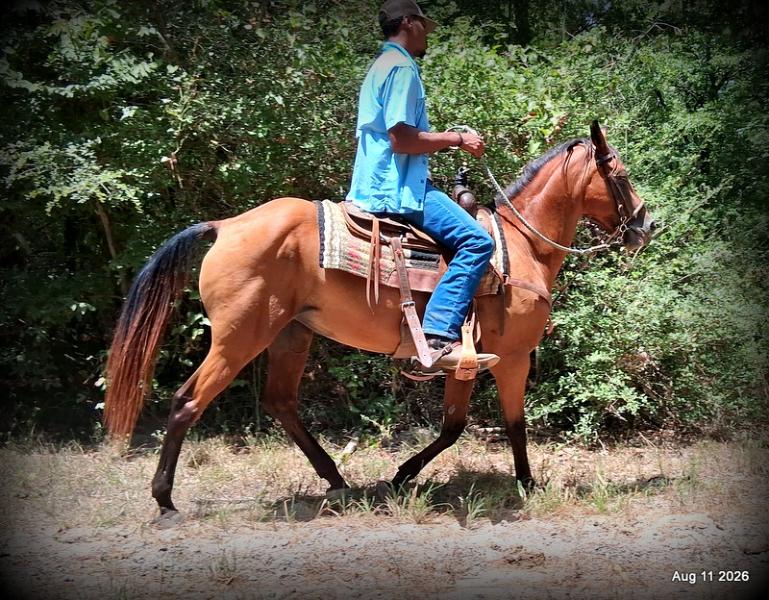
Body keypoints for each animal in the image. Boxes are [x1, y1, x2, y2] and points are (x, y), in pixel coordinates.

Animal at [104, 121, 655, 522]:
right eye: (622, 175)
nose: (647, 226)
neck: (522, 247)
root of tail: (226, 225)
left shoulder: (466, 360)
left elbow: (453, 425)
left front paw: (401, 476)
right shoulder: (511, 358)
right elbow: (514, 425)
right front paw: (526, 484)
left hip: (290, 335)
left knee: (281, 403)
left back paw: (336, 480)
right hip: (239, 339)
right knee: (186, 403)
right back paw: (165, 502)